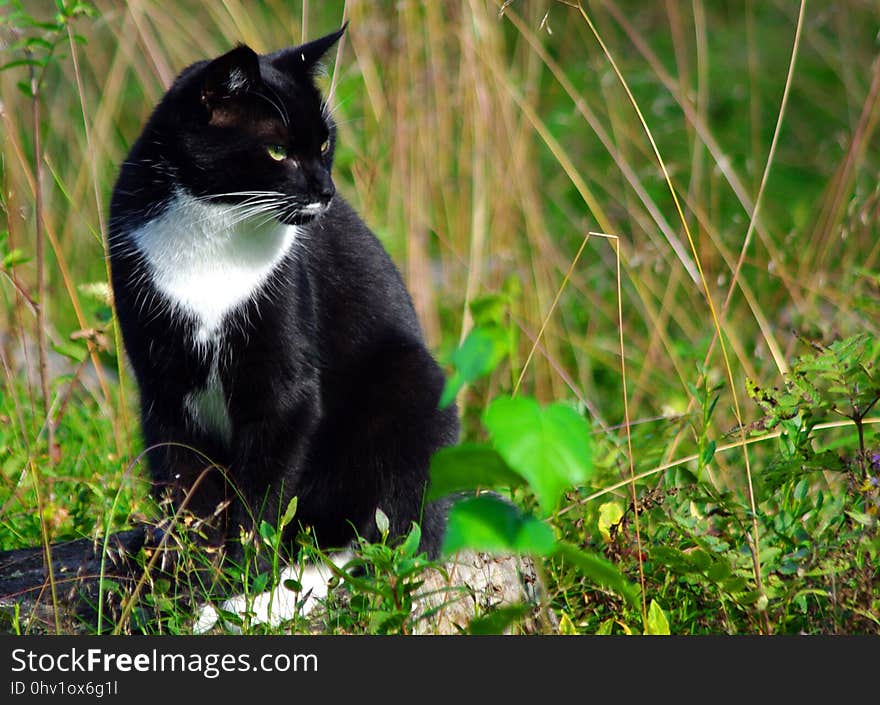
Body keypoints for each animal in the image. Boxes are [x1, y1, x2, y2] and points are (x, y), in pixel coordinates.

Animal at [106, 24, 458, 628]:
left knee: (385, 535)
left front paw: (237, 585)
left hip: (413, 386)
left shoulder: (283, 384)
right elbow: (187, 489)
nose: (326, 191)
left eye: (323, 144)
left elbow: (261, 500)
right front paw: (189, 582)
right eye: (276, 150)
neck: (213, 230)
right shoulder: (163, 387)